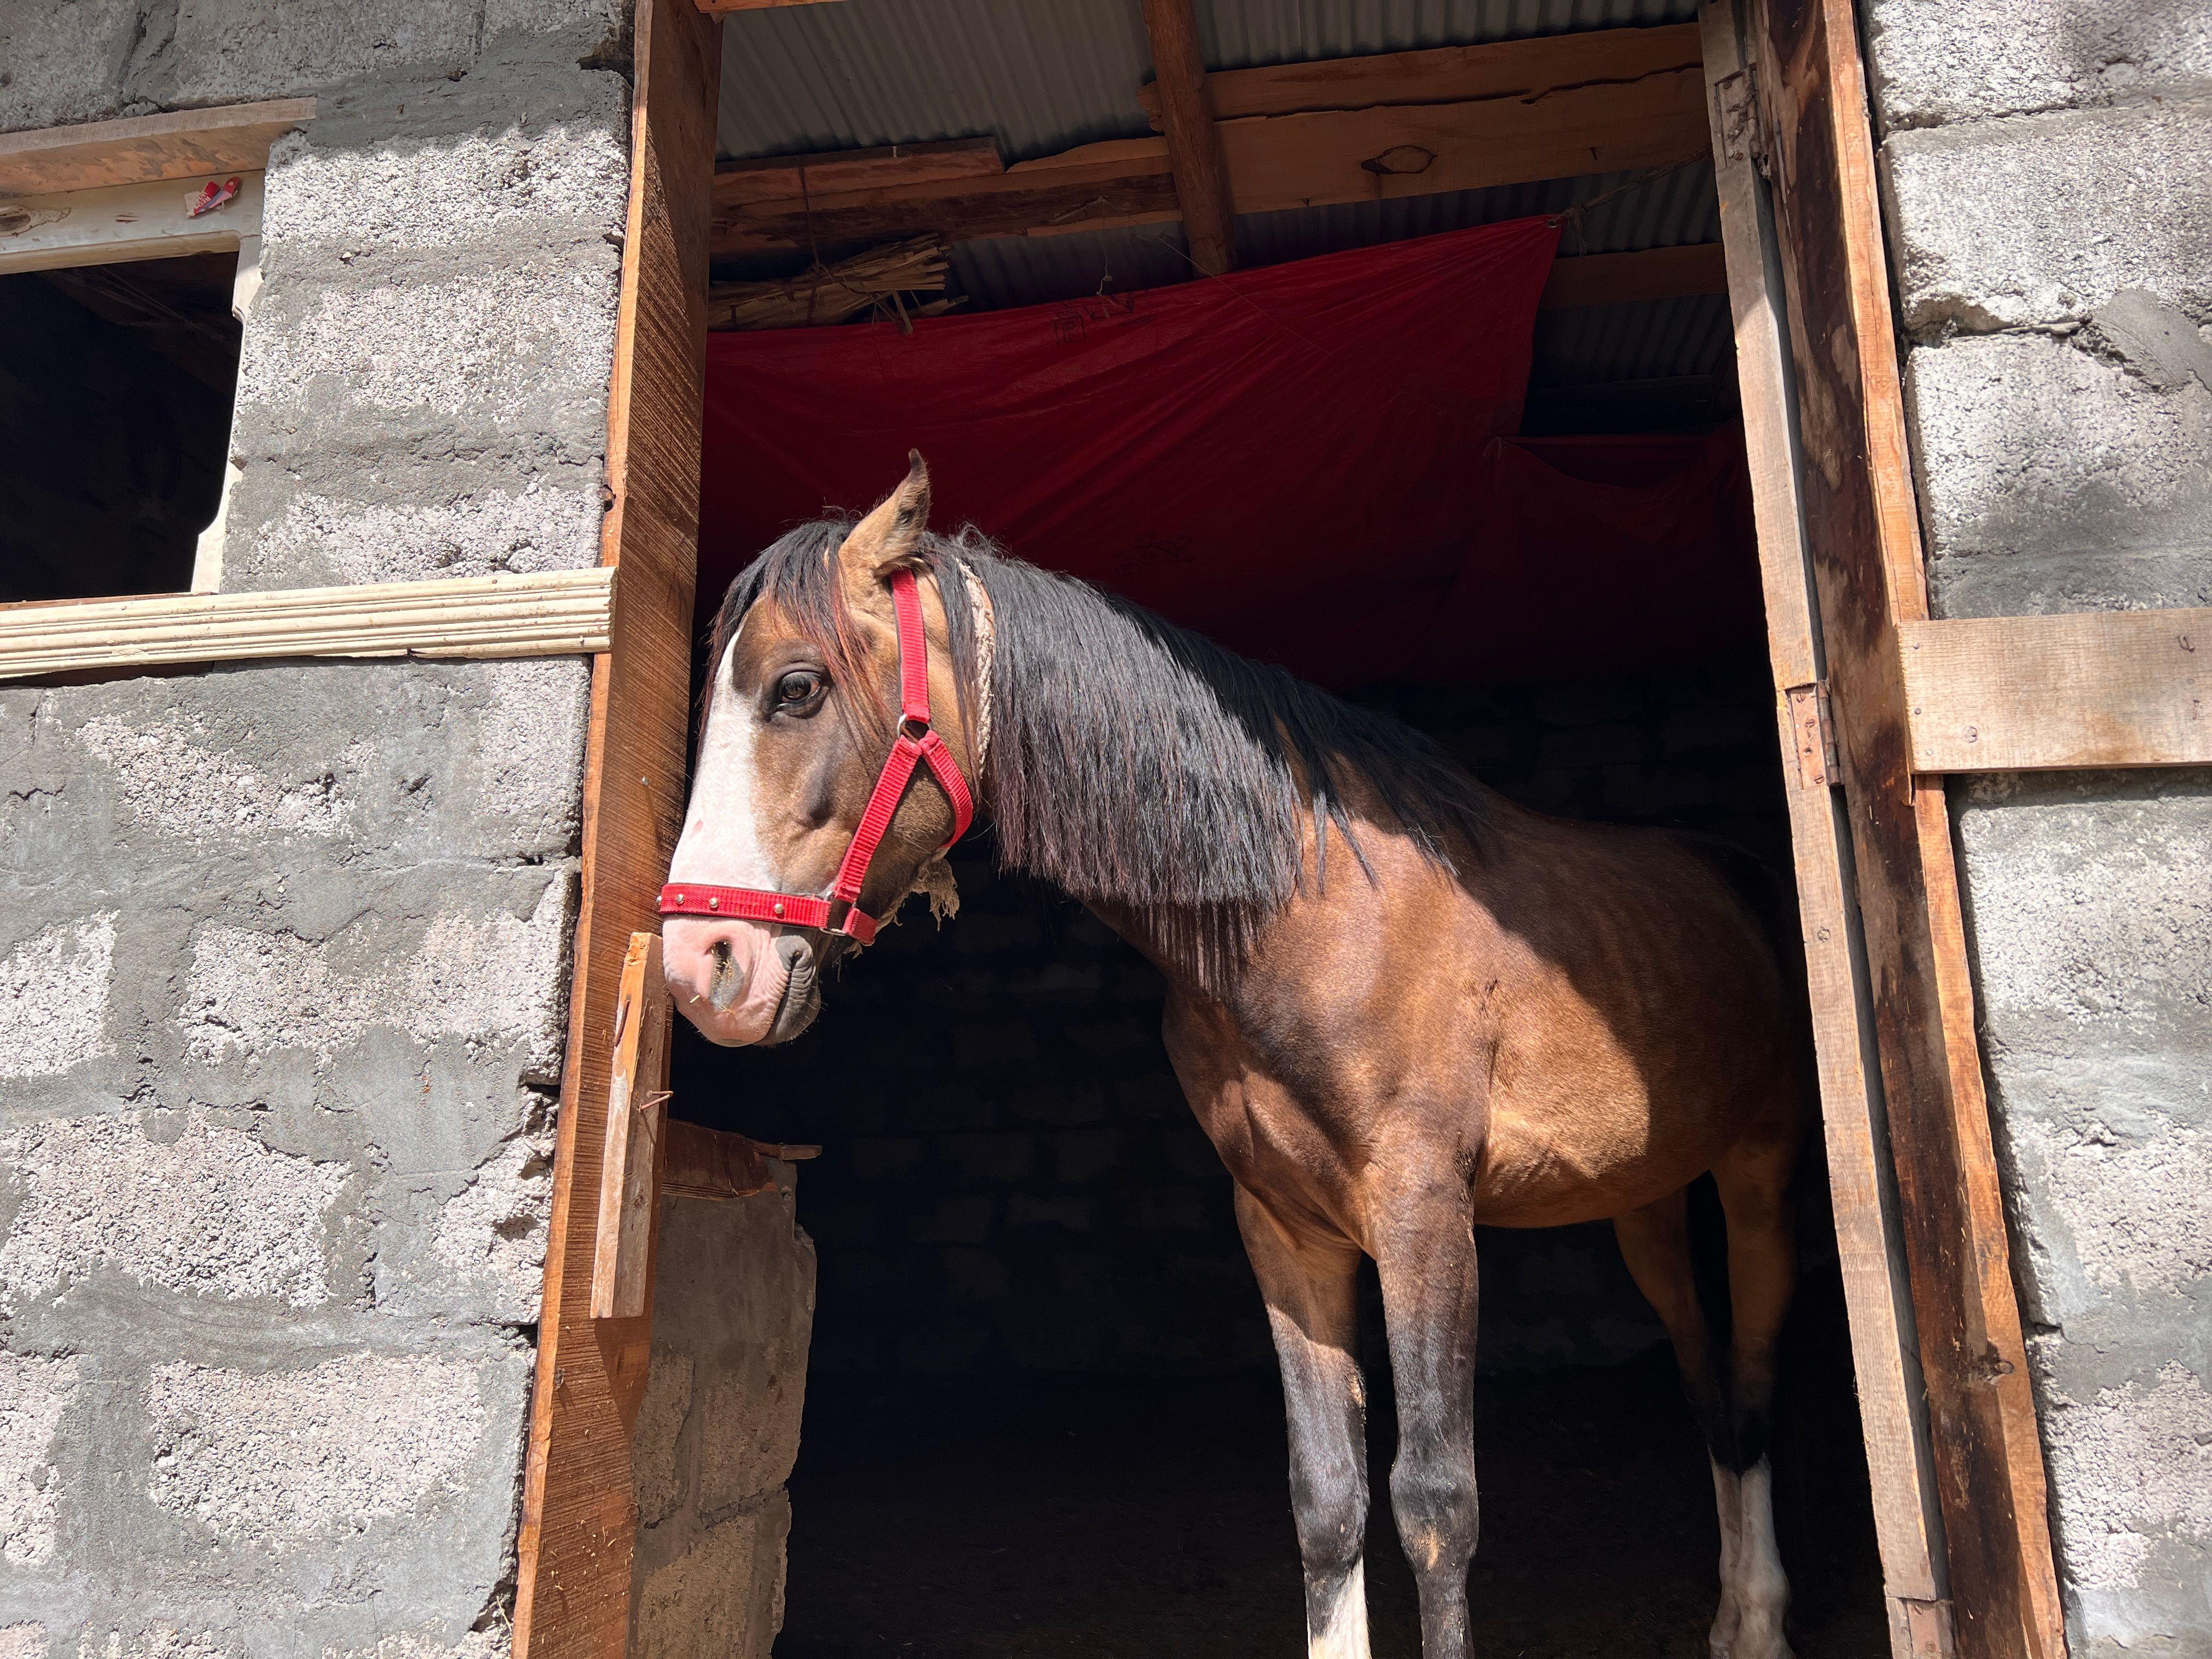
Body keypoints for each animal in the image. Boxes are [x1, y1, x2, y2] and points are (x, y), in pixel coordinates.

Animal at [660, 456, 1804, 1659]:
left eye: (797, 688)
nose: (703, 965)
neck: (1302, 906)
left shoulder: (1426, 1215)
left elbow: (1436, 1504)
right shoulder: (1285, 1227)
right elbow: (1326, 1499)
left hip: (1760, 1176)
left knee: (1755, 1379)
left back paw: (1763, 1617)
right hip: (1646, 1200)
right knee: (1707, 1380)